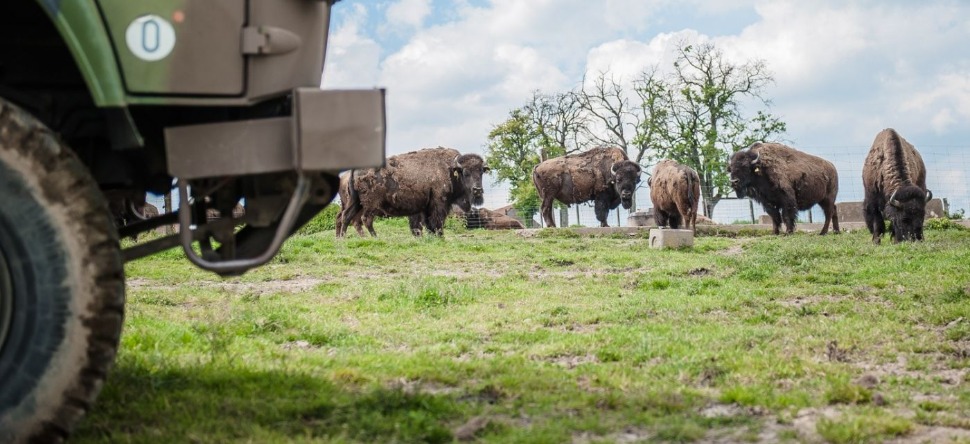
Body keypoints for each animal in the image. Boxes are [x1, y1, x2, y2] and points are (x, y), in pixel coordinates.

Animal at [338, 147, 488, 237]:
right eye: (466, 173)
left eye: (481, 172)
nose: (477, 190)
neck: (450, 169)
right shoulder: (439, 204)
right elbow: (437, 222)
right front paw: (440, 236)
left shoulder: (424, 207)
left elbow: (426, 224)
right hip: (371, 204)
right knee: (365, 219)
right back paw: (374, 237)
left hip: (356, 202)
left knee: (346, 216)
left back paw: (342, 238)